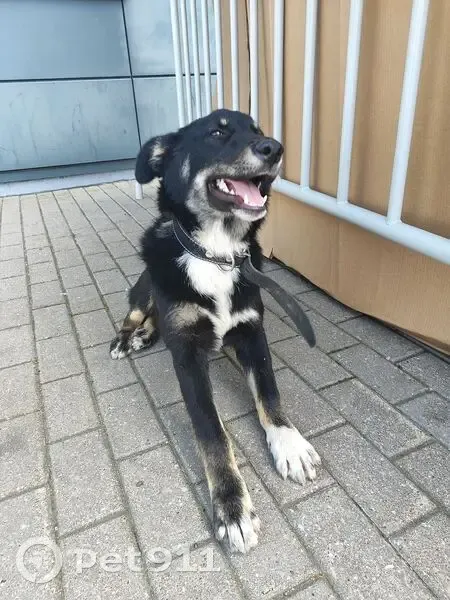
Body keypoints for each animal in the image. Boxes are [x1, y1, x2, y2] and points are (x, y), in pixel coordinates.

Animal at [110, 109, 321, 553]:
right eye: (217, 131)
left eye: (258, 130)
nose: (275, 148)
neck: (216, 255)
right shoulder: (188, 356)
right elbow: (211, 432)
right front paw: (232, 505)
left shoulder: (253, 332)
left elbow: (269, 393)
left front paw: (289, 443)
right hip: (145, 285)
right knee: (136, 311)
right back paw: (128, 337)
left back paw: (146, 336)